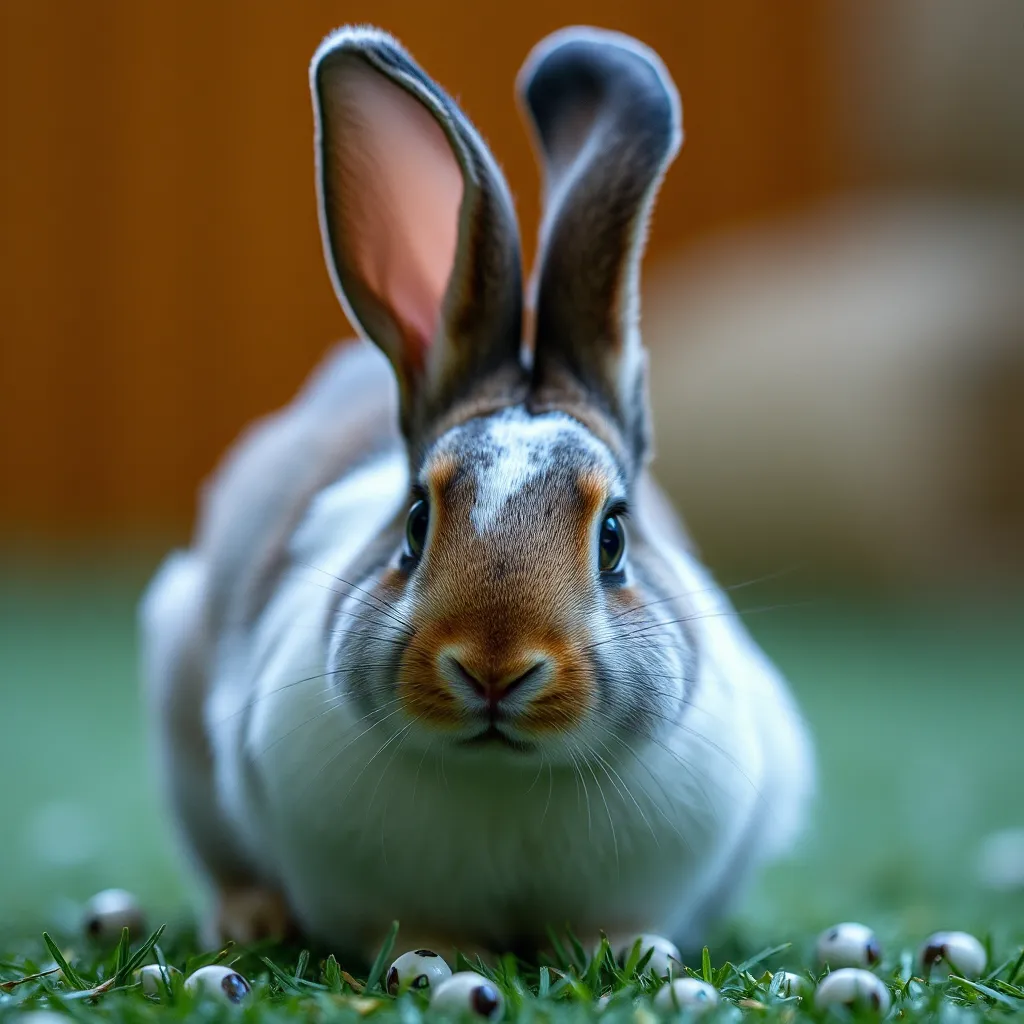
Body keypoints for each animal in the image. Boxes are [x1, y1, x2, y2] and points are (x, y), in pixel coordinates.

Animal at [139, 24, 815, 961]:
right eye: (415, 524)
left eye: (614, 538)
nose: (494, 668)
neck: (504, 778)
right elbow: (416, 930)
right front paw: (439, 961)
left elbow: (619, 927)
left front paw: (632, 956)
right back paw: (250, 919)